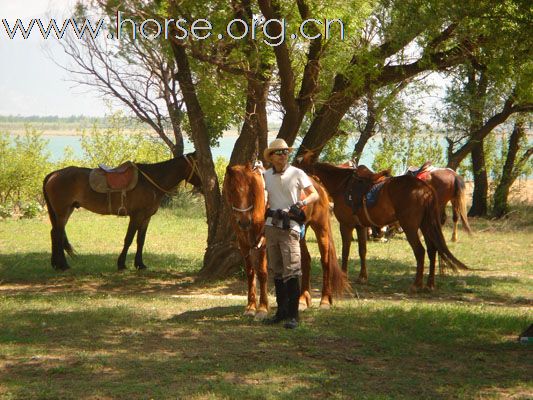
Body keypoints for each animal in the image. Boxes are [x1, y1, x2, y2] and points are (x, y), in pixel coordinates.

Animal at [42, 153, 201, 272]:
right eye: (198, 166)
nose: (202, 186)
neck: (151, 181)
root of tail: (54, 174)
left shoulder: (146, 217)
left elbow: (141, 240)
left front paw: (140, 264)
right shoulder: (136, 216)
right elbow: (129, 239)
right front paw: (122, 264)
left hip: (64, 211)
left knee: (54, 233)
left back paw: (55, 264)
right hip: (62, 211)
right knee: (58, 234)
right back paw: (63, 265)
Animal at [223, 163, 350, 318]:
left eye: (251, 191)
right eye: (232, 191)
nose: (244, 221)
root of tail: (317, 185)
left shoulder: (263, 243)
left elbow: (262, 273)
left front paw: (262, 309)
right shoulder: (244, 244)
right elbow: (250, 273)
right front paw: (250, 307)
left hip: (322, 229)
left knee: (325, 262)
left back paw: (324, 301)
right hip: (299, 234)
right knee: (306, 260)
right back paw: (302, 300)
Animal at [296, 154, 466, 290]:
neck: (342, 186)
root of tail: (425, 189)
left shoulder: (346, 225)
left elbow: (345, 251)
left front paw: (344, 275)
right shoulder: (360, 226)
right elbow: (362, 250)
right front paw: (362, 277)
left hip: (410, 227)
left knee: (420, 251)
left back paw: (417, 284)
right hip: (425, 226)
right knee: (432, 250)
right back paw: (430, 284)